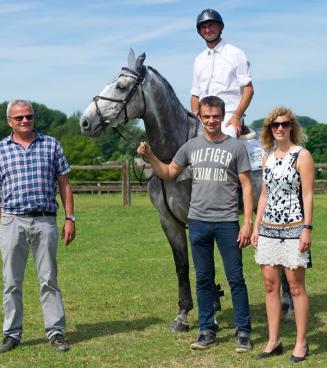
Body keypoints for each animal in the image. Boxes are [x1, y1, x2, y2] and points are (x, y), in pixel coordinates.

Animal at [80, 49, 294, 330]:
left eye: (121, 86)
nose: (85, 122)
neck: (174, 156)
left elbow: (207, 265)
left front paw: (211, 310)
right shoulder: (169, 221)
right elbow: (182, 265)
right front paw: (183, 314)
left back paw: (289, 306)